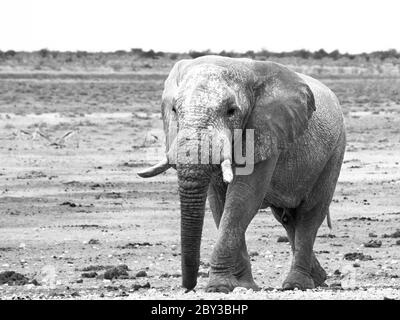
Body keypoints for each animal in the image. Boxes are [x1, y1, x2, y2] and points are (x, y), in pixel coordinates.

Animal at [137, 55, 344, 292]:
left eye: (231, 111)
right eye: (173, 109)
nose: (189, 287)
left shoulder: (265, 131)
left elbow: (242, 198)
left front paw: (218, 287)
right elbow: (220, 202)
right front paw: (244, 286)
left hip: (334, 152)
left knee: (309, 215)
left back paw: (296, 285)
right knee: (288, 219)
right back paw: (318, 278)